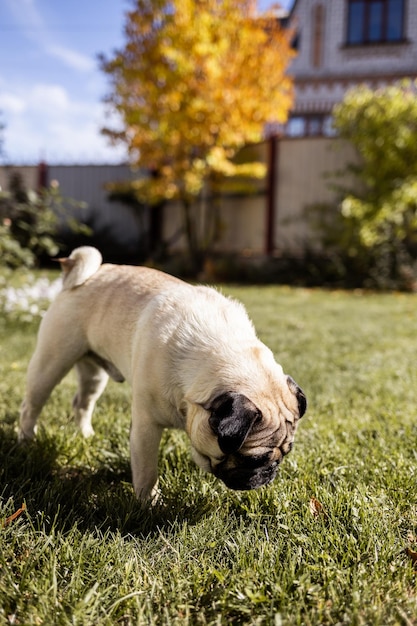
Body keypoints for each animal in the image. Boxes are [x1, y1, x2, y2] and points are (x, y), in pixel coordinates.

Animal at [19, 246, 306, 500]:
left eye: (286, 453)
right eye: (253, 459)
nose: (270, 471)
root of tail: (87, 275)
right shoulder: (146, 426)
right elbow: (147, 473)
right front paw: (150, 504)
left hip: (93, 376)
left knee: (82, 403)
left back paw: (86, 435)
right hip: (51, 362)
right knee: (31, 405)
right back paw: (27, 441)